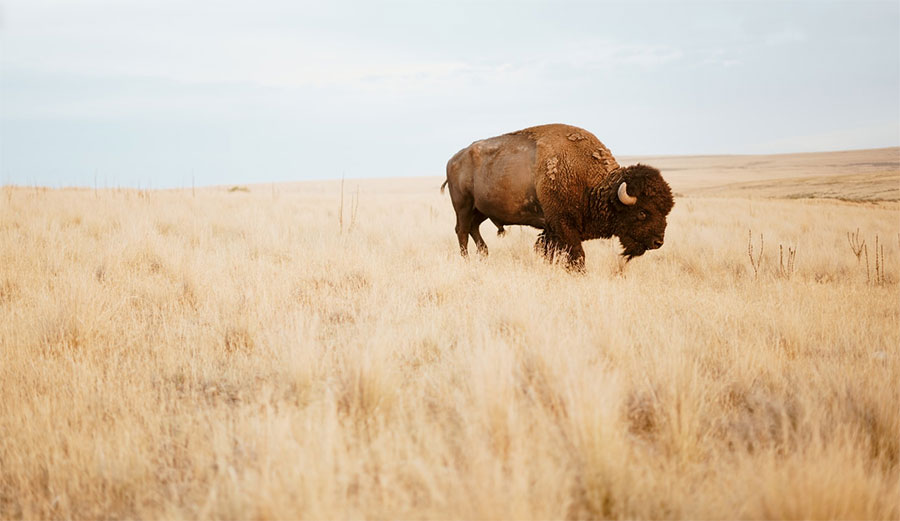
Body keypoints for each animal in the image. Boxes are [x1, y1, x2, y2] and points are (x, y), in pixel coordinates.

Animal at [441, 123, 674, 270]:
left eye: (666, 211)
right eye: (642, 212)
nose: (658, 242)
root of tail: (453, 159)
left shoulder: (552, 229)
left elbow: (548, 251)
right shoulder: (563, 225)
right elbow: (577, 255)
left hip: (481, 210)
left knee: (473, 228)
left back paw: (484, 255)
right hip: (463, 206)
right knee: (462, 231)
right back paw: (467, 260)